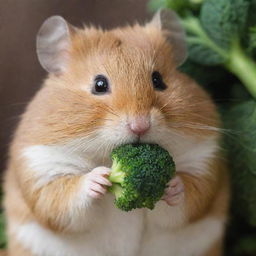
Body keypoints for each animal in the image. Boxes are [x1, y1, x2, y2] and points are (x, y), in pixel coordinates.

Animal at [3, 9, 228, 256]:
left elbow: (187, 198)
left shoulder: (204, 165)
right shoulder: (43, 171)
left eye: (158, 80)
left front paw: (172, 185)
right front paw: (99, 178)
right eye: (99, 84)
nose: (140, 126)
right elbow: (67, 199)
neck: (107, 156)